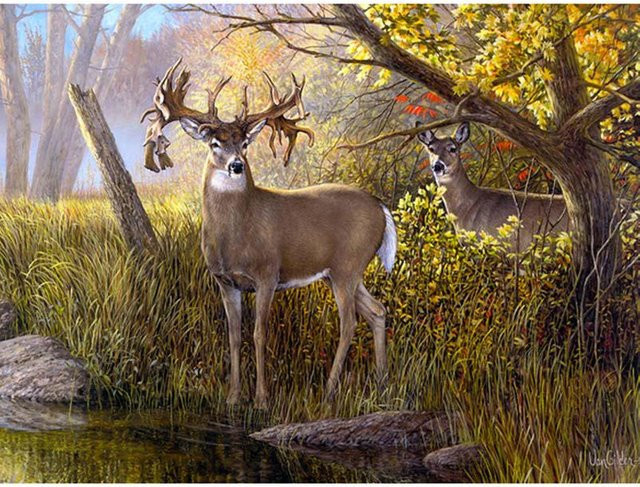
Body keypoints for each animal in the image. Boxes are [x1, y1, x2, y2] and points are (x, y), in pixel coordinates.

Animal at [141, 59, 396, 408]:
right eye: (215, 143)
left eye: (245, 143)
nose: (236, 165)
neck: (235, 238)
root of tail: (382, 207)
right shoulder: (225, 281)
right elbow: (234, 336)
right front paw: (233, 397)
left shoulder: (267, 274)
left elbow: (260, 333)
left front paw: (262, 399)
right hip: (340, 272)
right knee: (377, 310)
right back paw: (382, 383)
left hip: (349, 264)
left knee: (348, 323)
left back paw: (330, 390)